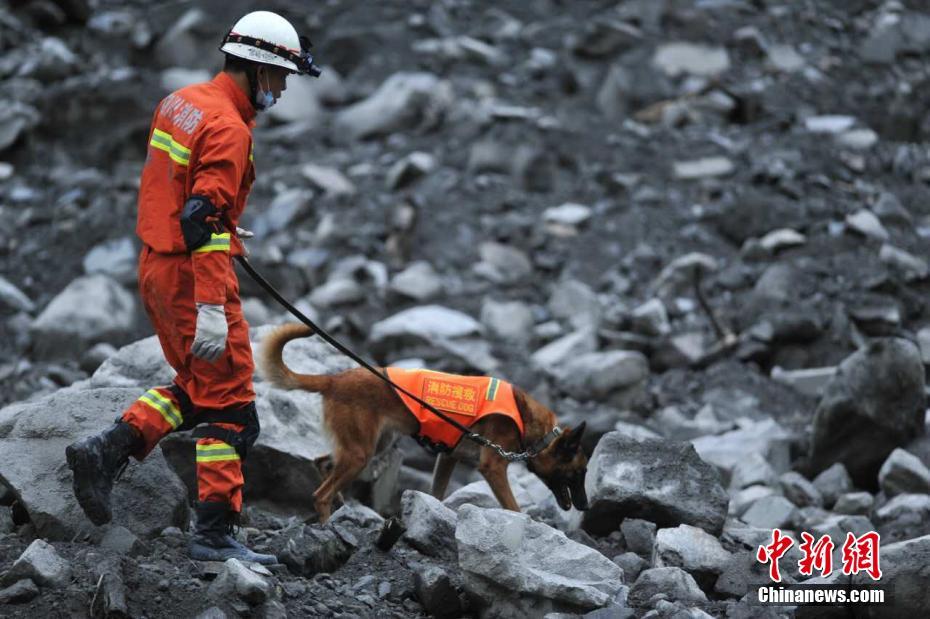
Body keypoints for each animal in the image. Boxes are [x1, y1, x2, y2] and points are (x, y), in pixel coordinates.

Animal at [256, 324, 588, 524]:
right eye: (578, 472)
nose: (585, 506)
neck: (526, 419)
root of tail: (335, 379)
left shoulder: (448, 458)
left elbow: (437, 493)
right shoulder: (493, 468)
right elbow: (513, 506)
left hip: (372, 445)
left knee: (322, 462)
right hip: (361, 453)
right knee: (319, 494)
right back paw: (327, 522)